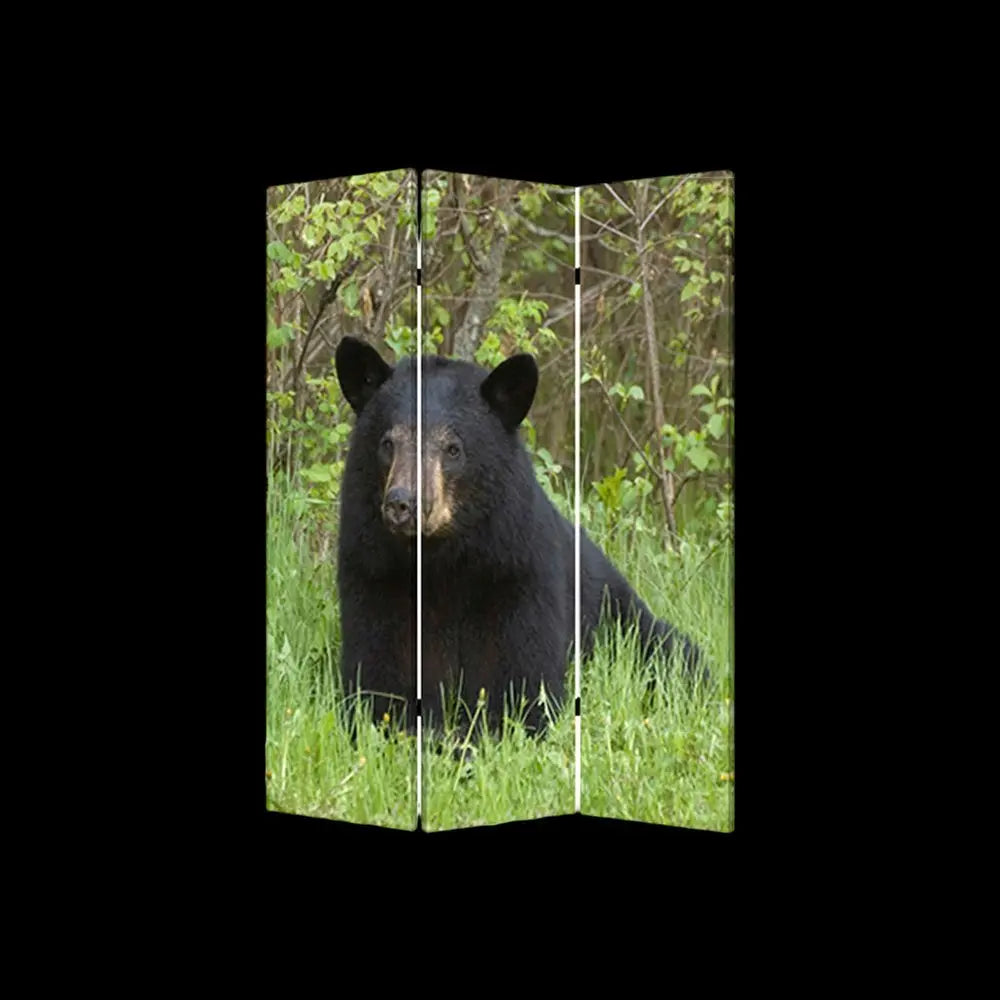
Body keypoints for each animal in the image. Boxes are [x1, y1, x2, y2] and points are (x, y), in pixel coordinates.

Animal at [334, 335, 707, 738]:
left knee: (676, 654)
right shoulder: (374, 572)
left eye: (453, 449)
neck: (441, 559)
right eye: (388, 443)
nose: (403, 503)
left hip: (626, 622)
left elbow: (523, 683)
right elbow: (378, 676)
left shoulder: (516, 572)